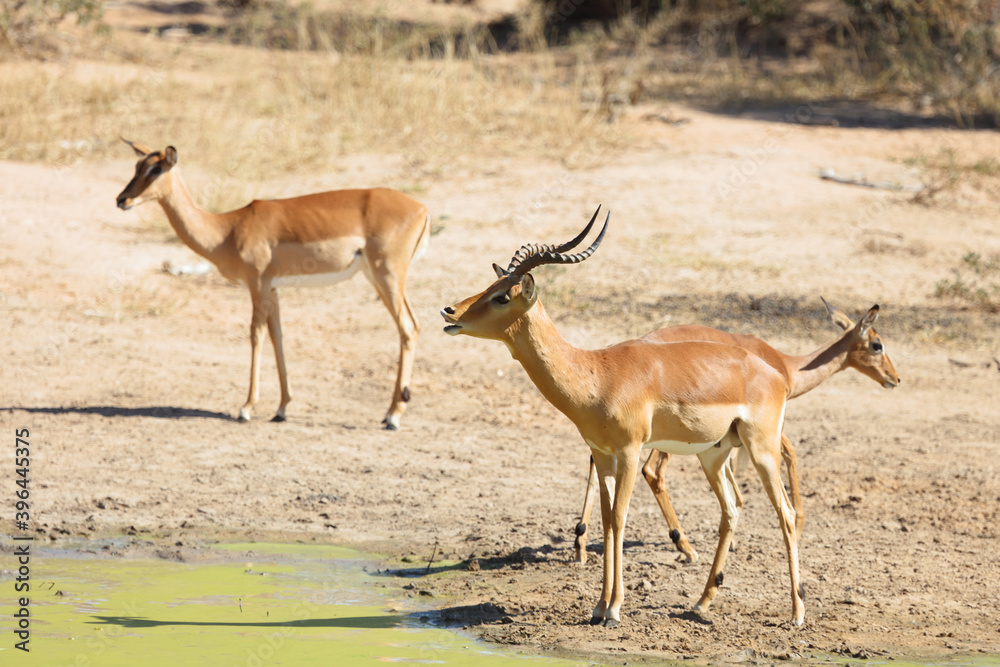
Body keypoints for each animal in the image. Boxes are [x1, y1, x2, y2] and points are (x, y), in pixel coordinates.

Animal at [115, 140, 430, 428]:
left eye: (156, 169)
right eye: (137, 165)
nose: (122, 199)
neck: (227, 230)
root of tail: (422, 208)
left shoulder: (258, 284)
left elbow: (256, 335)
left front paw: (246, 408)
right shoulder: (274, 289)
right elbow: (278, 336)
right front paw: (281, 409)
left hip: (386, 276)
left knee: (409, 328)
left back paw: (393, 415)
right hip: (383, 278)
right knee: (412, 327)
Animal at [441, 208, 805, 627]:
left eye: (502, 296)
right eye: (491, 284)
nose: (449, 311)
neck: (596, 375)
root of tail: (775, 374)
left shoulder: (630, 451)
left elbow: (619, 517)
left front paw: (614, 608)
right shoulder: (603, 455)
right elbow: (605, 520)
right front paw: (599, 606)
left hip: (761, 448)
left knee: (786, 514)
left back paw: (797, 613)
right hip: (713, 454)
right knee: (731, 511)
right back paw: (701, 603)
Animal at [574, 300, 900, 564]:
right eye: (877, 344)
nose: (895, 378)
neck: (787, 366)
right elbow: (791, 452)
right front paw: (798, 523)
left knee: (597, 461)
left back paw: (580, 543)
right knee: (652, 472)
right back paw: (685, 547)